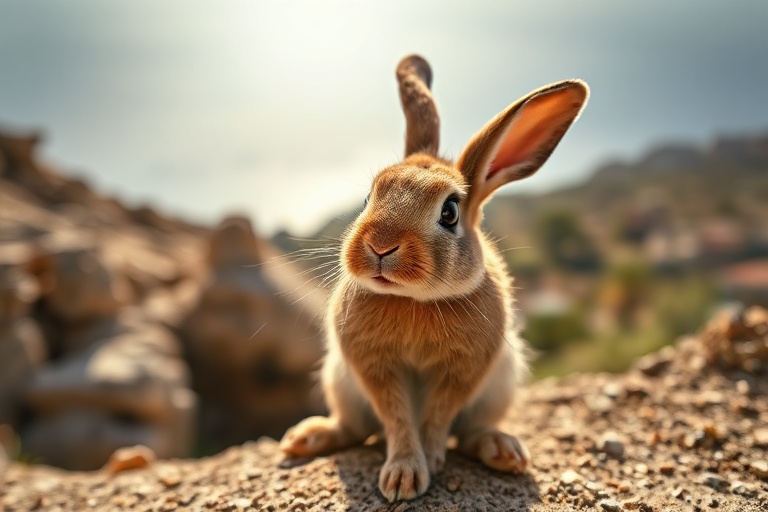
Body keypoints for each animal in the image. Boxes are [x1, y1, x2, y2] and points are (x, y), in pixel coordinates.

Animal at [280, 54, 589, 502]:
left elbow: (437, 419)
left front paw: (419, 467)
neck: (414, 302)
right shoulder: (373, 366)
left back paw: (504, 451)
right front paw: (404, 475)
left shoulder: (464, 370)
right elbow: (396, 417)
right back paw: (305, 438)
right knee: (353, 427)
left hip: (499, 384)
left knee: (471, 432)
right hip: (340, 381)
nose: (380, 246)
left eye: (450, 212)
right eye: (370, 196)